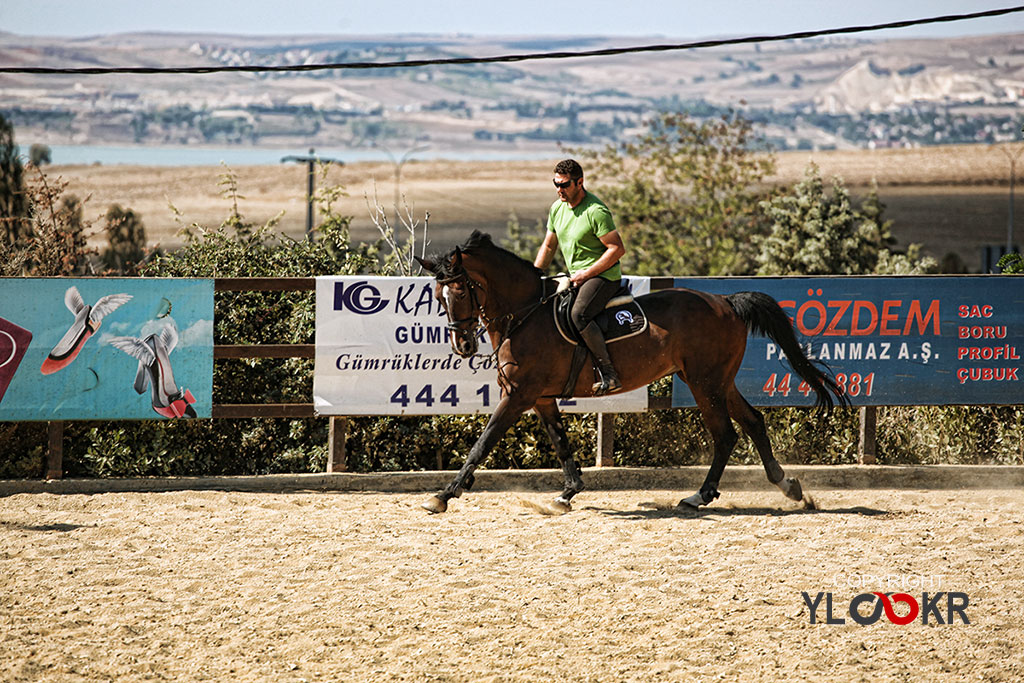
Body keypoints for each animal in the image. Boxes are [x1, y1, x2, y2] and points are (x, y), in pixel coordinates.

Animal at [411, 229, 843, 511]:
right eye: (438, 296)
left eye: (461, 291)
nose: (463, 346)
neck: (525, 315)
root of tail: (726, 301)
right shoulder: (541, 397)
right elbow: (560, 442)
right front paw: (568, 491)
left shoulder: (517, 395)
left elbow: (482, 443)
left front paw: (445, 494)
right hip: (716, 380)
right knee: (752, 422)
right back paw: (788, 486)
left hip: (704, 382)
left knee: (725, 435)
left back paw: (699, 496)